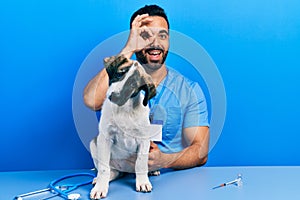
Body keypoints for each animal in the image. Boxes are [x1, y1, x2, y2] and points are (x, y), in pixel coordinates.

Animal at [89, 54, 161, 200]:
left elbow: (140, 163)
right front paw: (100, 188)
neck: (124, 110)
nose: (114, 97)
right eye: (118, 74)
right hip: (93, 144)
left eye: (133, 85)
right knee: (112, 171)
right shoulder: (105, 138)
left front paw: (143, 182)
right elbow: (104, 168)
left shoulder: (144, 139)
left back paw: (153, 171)